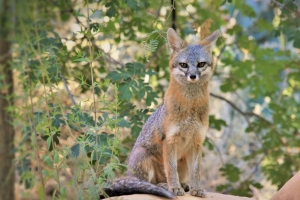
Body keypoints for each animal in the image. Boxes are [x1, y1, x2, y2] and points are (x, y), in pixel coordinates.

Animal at [101, 27, 220, 198]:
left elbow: (196, 171)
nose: (192, 76)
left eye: (201, 64)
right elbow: (171, 169)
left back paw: (184, 185)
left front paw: (196, 188)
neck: (190, 107)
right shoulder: (169, 140)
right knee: (148, 183)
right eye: (184, 65)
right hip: (143, 155)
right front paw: (174, 188)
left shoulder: (197, 142)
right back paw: (165, 185)